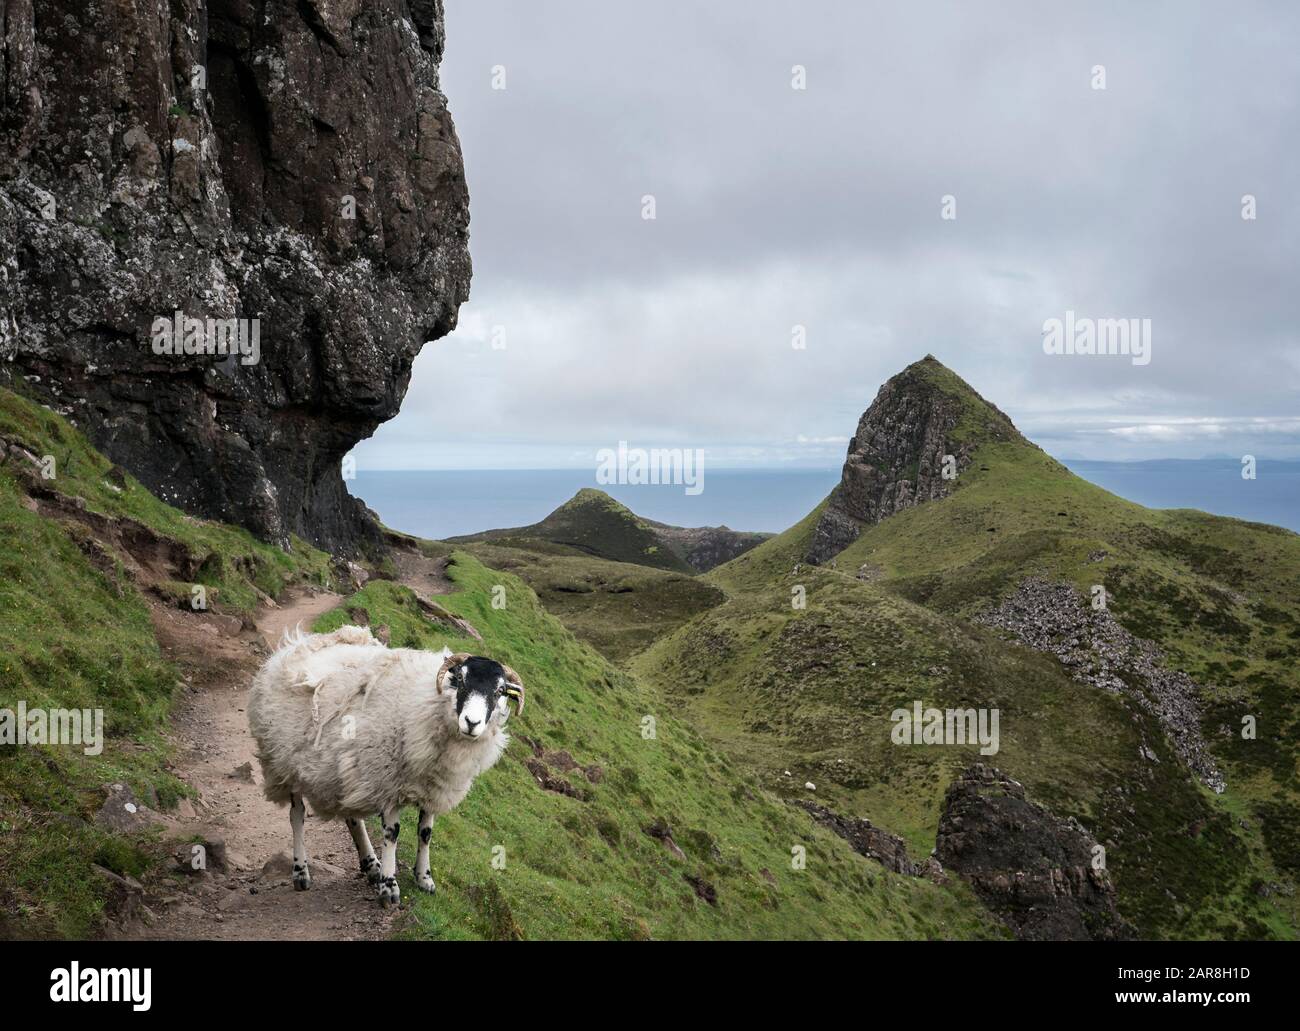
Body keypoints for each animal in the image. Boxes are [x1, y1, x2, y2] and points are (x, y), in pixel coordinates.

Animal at [248, 624, 522, 904]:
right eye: (462, 680)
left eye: (499, 691)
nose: (472, 722)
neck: (428, 705)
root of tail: (295, 644)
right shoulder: (388, 780)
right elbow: (392, 833)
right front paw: (389, 886)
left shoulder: (432, 785)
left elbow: (426, 833)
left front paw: (424, 878)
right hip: (283, 764)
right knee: (297, 815)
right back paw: (301, 871)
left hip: (343, 767)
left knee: (352, 818)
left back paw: (371, 864)